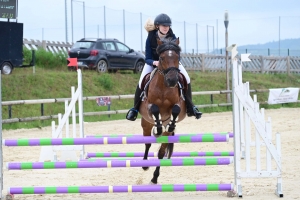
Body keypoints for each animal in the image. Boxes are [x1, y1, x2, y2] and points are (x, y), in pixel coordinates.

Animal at [139, 37, 186, 184]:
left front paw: (170, 125)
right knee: (147, 143)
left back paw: (155, 178)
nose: (172, 80)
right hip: (146, 123)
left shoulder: (178, 105)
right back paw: (144, 165)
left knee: (161, 152)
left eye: (177, 57)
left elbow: (176, 109)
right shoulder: (148, 107)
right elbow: (154, 108)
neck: (164, 88)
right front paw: (158, 129)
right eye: (161, 58)